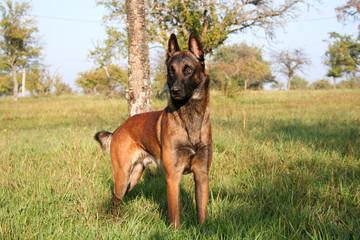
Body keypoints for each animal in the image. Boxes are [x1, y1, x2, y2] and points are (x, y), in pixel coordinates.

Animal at [94, 33, 212, 227]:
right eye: (171, 70)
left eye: (188, 70)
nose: (175, 91)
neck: (190, 119)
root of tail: (119, 128)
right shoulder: (173, 177)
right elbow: (175, 215)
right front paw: (175, 231)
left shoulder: (202, 175)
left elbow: (201, 213)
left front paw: (203, 230)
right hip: (123, 176)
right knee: (114, 199)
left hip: (133, 177)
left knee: (117, 199)